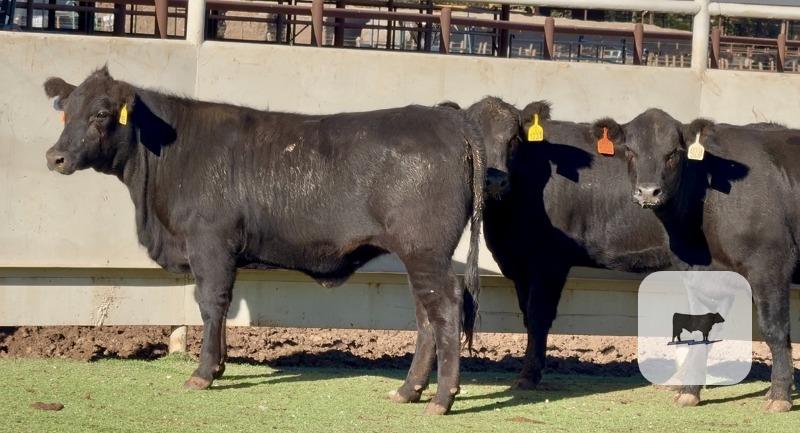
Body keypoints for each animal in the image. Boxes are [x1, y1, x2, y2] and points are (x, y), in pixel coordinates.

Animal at [42, 67, 485, 415]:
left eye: (101, 113)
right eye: (66, 111)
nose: (55, 157)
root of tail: (450, 120)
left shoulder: (209, 242)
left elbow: (211, 302)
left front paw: (203, 373)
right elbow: (219, 305)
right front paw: (219, 366)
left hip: (426, 251)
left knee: (446, 307)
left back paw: (442, 399)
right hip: (418, 255)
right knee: (426, 314)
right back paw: (408, 391)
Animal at [477, 100, 795, 412]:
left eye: (514, 139)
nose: (493, 181)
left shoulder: (548, 261)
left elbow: (538, 317)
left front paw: (528, 376)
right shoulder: (520, 264)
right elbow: (528, 318)